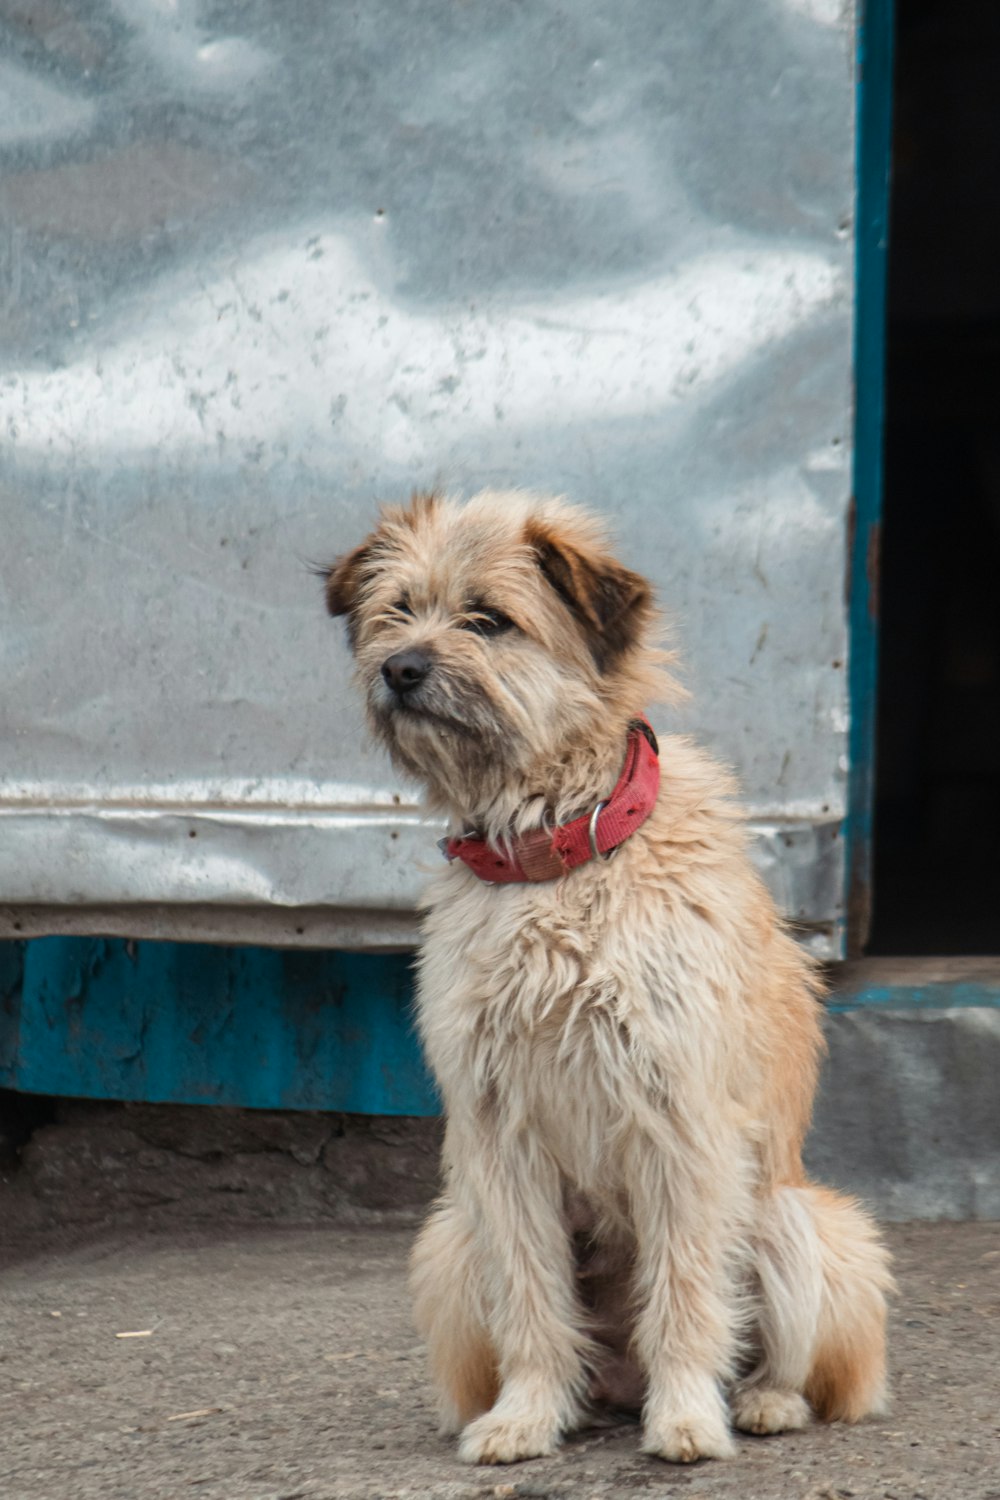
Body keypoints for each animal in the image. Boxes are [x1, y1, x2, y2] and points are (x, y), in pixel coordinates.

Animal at [326, 489, 893, 1464]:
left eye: (489, 620)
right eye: (397, 610)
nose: (400, 669)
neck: (553, 859)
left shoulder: (682, 1122)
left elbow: (687, 1293)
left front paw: (688, 1417)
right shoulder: (498, 1138)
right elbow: (531, 1300)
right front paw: (524, 1415)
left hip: (797, 1222)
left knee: (802, 1365)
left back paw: (760, 1404)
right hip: (448, 1242)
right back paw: (570, 1405)